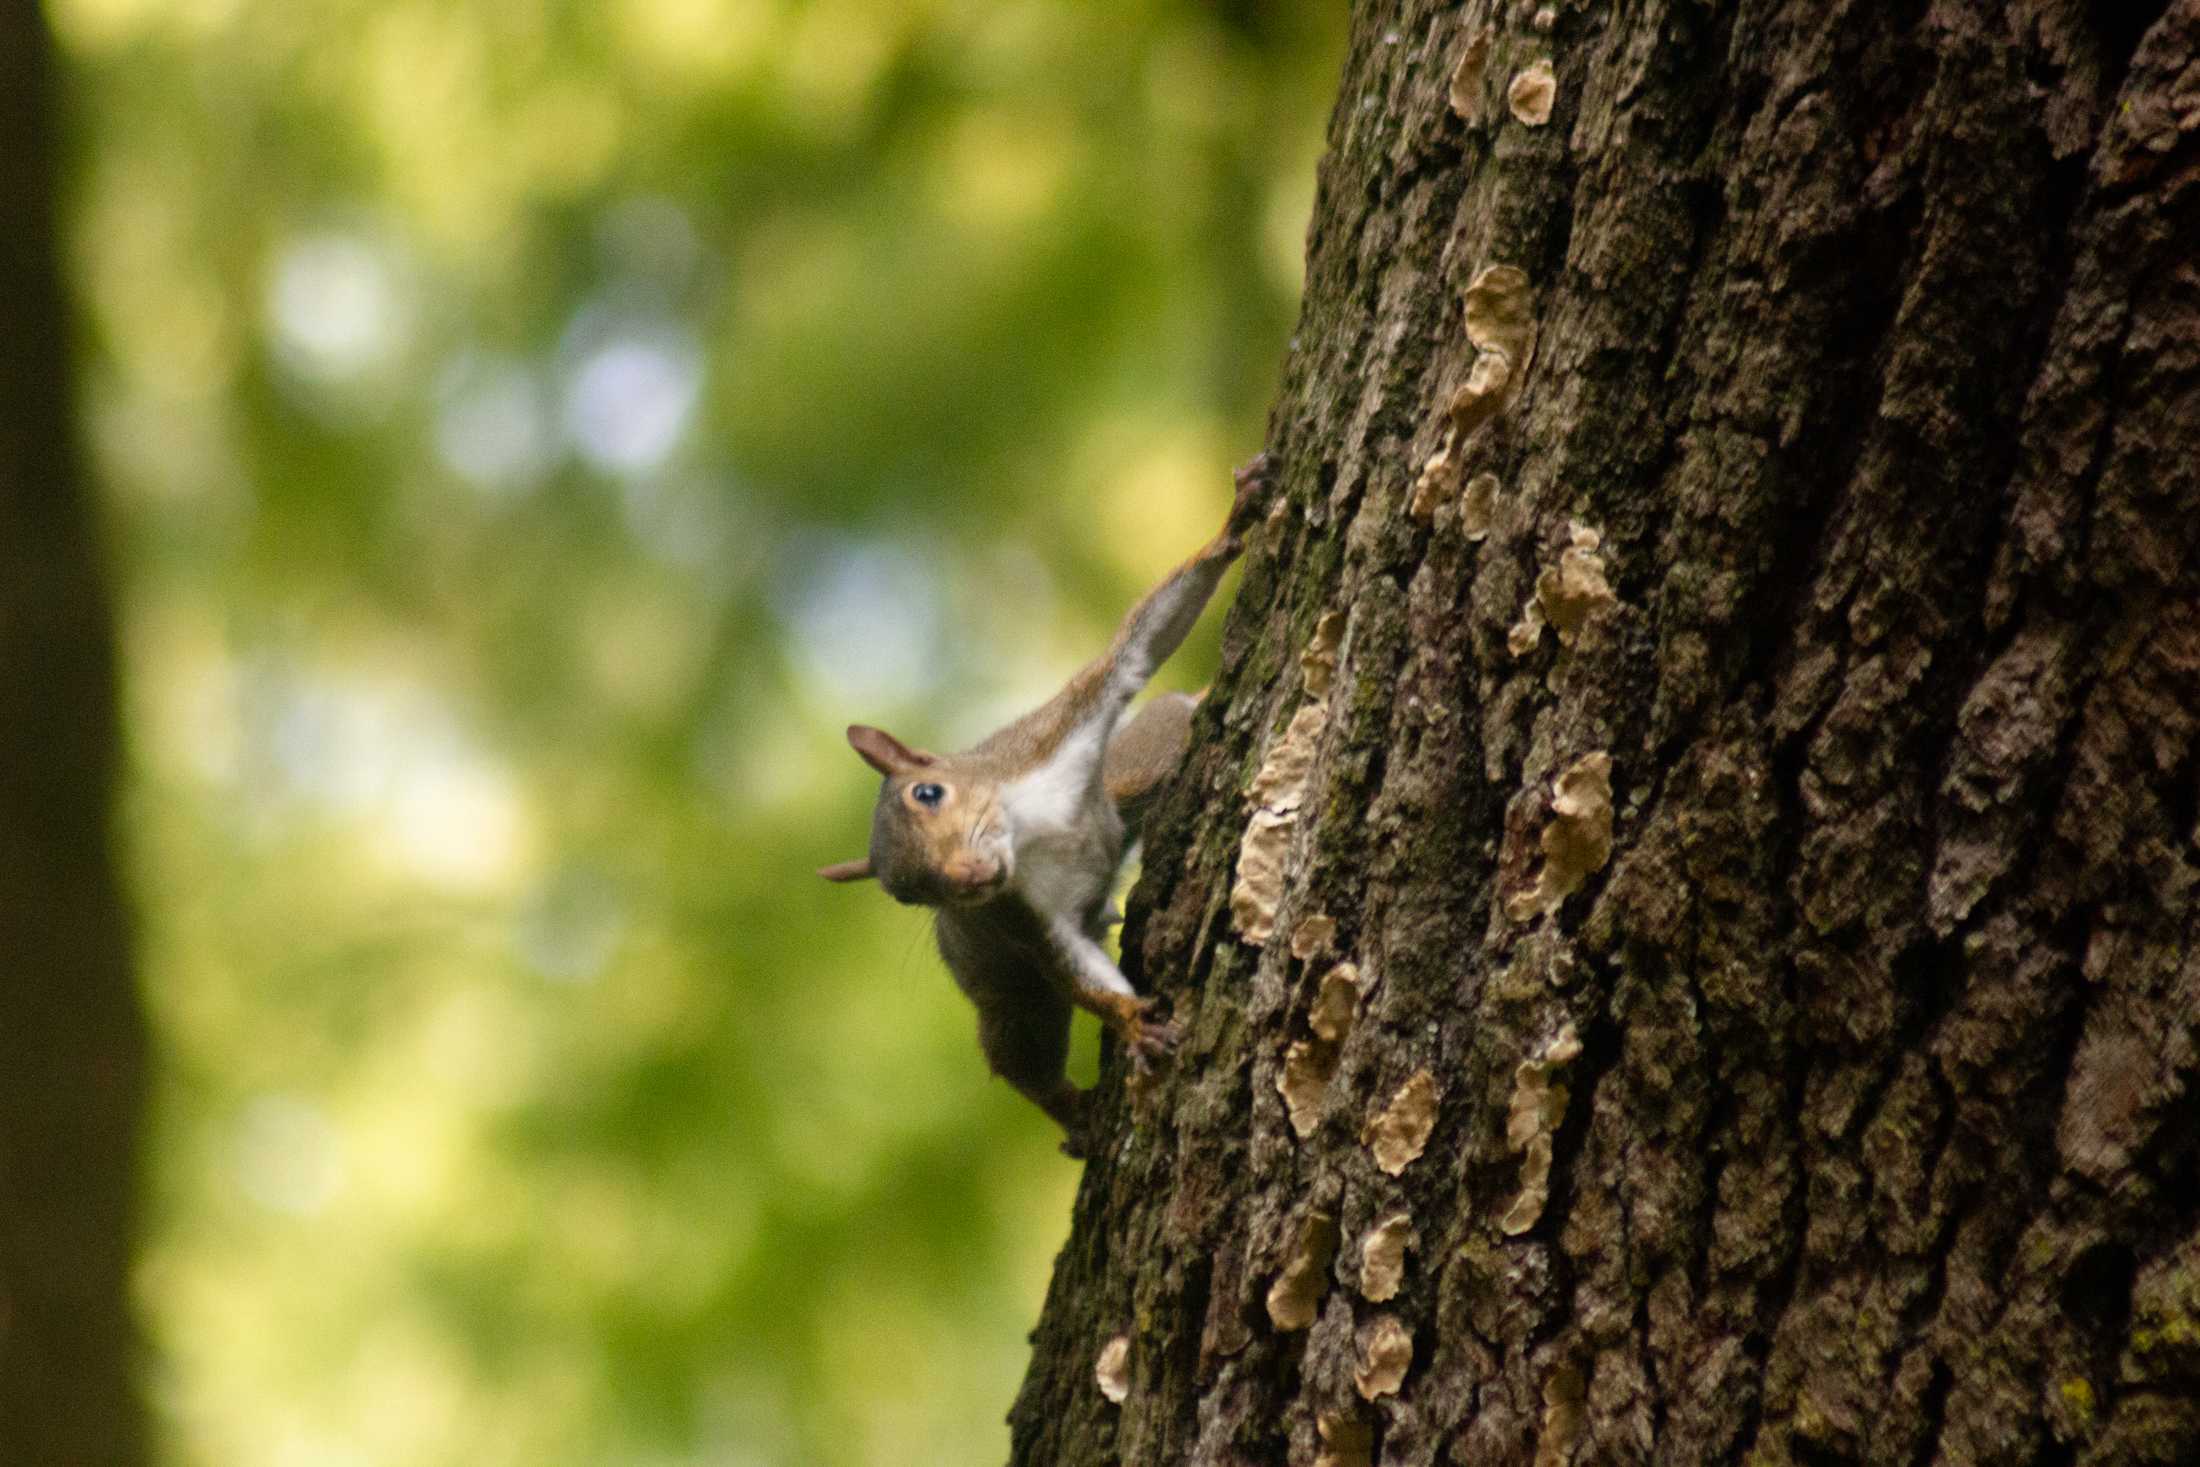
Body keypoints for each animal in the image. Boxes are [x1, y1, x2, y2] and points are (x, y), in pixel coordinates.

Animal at [822, 455, 1276, 1161]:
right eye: (909, 895)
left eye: (928, 793)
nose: (968, 881)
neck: (1028, 832)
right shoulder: (1023, 921)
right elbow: (1071, 967)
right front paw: (1131, 1021)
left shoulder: (1056, 729)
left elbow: (1134, 651)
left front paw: (1234, 524)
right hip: (1010, 1002)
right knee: (1021, 1061)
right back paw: (1073, 1114)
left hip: (1135, 772)